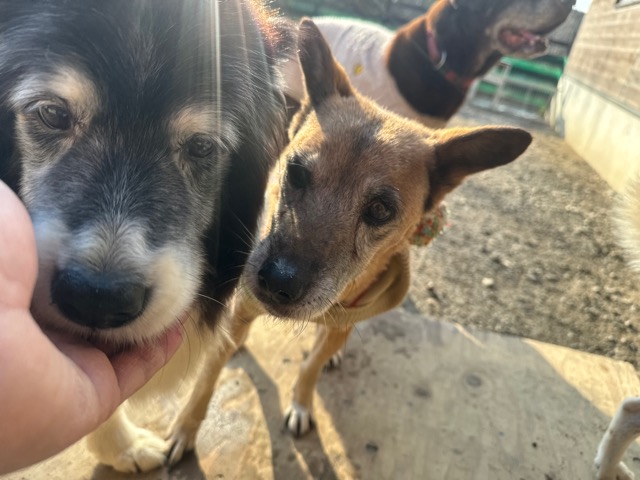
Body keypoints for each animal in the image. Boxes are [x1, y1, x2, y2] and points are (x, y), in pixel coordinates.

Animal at [161, 18, 532, 466]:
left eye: (380, 210)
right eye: (296, 172)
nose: (277, 281)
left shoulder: (340, 319)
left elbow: (310, 367)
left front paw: (301, 402)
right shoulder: (241, 308)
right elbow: (206, 380)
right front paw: (184, 429)